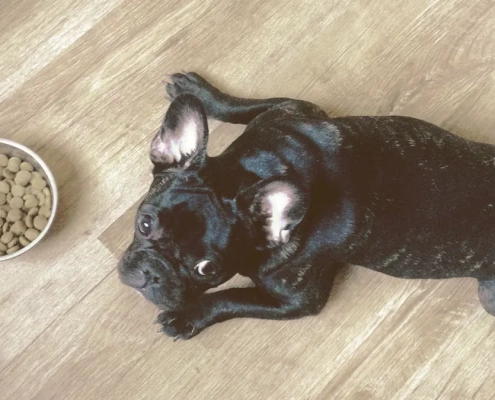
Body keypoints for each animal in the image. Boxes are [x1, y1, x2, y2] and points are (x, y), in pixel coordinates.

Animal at [119, 72, 495, 340]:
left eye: (207, 269)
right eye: (145, 223)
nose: (151, 274)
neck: (254, 171)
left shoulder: (298, 300)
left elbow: (230, 298)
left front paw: (187, 317)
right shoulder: (291, 109)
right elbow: (244, 106)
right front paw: (202, 93)